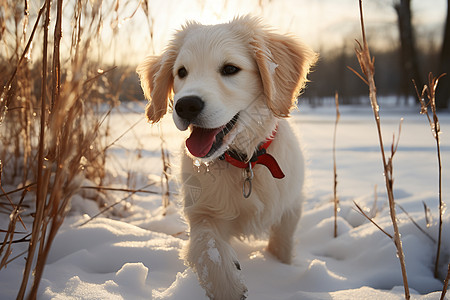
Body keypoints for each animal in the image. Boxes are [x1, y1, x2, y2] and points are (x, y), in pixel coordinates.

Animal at [137, 15, 316, 298]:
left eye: (230, 69)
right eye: (181, 72)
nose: (186, 105)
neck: (245, 161)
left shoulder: (290, 207)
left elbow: (282, 245)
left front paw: (282, 270)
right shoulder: (201, 210)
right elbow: (207, 245)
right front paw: (228, 285)